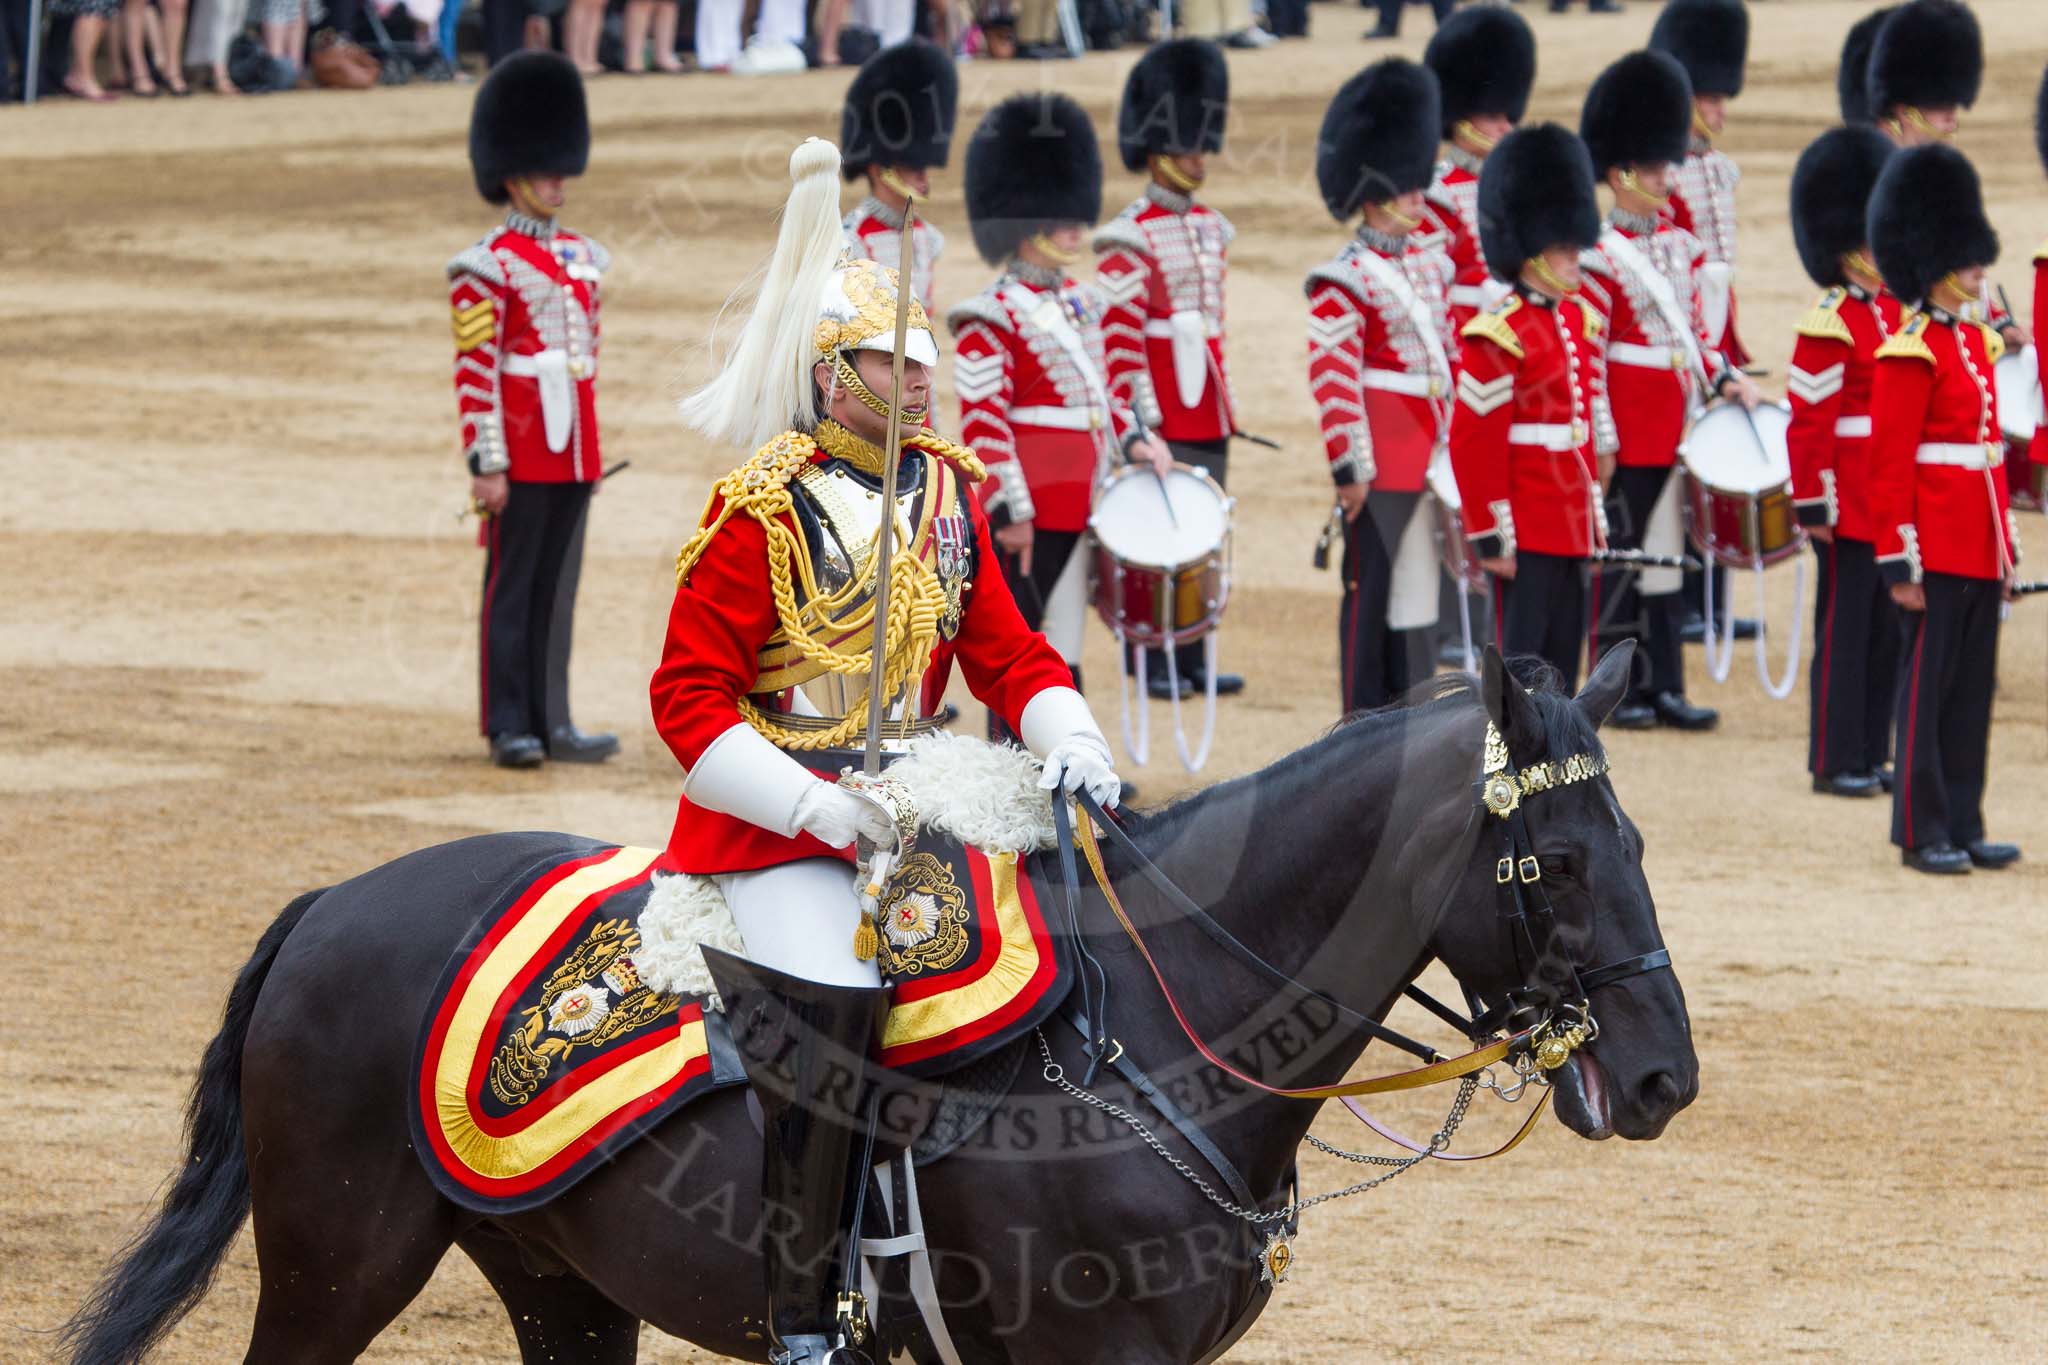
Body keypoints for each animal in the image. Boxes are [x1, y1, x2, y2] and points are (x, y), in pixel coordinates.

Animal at [64, 646, 1695, 1358]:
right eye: (1555, 858)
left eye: (1640, 841)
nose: (1663, 1077)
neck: (1154, 1038)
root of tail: (331, 907)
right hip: (337, 1270)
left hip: (558, 1285)